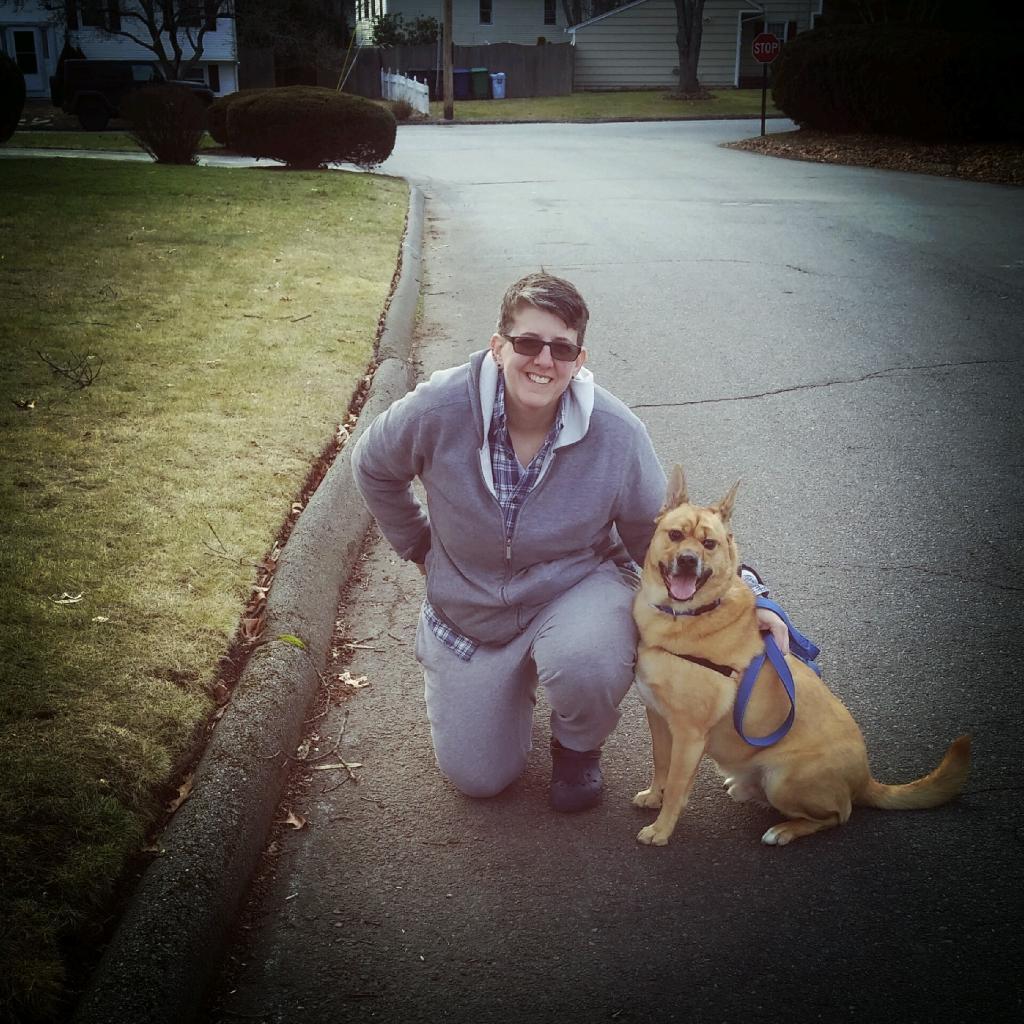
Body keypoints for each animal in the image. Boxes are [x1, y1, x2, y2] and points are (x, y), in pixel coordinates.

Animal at [632, 465, 970, 847]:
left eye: (709, 544)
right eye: (675, 534)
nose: (688, 561)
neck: (687, 615)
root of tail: (865, 779)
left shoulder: (689, 735)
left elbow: (677, 786)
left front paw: (661, 829)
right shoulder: (659, 719)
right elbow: (661, 764)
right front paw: (654, 796)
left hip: (783, 778)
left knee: (839, 814)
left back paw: (784, 829)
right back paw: (745, 788)